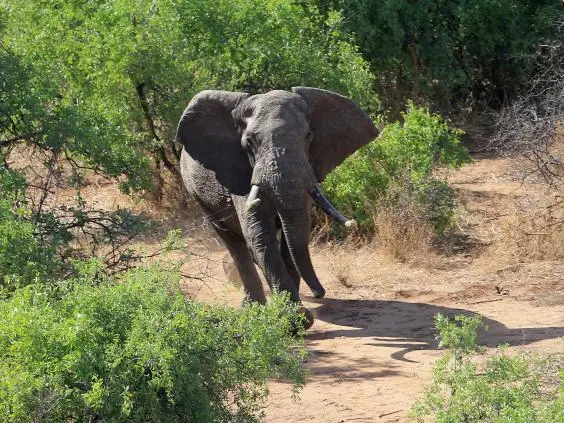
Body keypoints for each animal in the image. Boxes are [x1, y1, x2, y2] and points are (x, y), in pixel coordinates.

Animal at [176, 87, 378, 328]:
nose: (319, 292)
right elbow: (260, 234)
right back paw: (252, 306)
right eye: (249, 141)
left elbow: (293, 238)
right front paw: (296, 319)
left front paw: (293, 312)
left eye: (308, 136)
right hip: (196, 194)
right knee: (233, 242)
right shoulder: (239, 169)